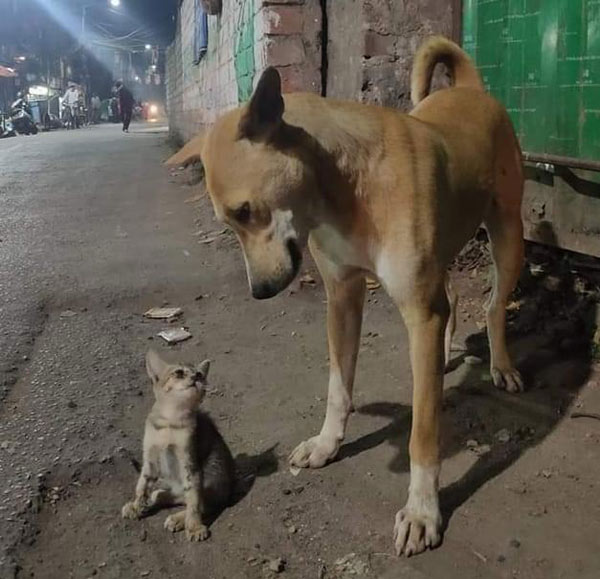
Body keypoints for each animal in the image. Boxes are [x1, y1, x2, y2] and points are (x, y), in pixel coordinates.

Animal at [166, 36, 524, 556]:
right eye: (227, 222)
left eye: (246, 210)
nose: (260, 292)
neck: (344, 183)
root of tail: (472, 90)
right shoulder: (343, 297)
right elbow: (338, 387)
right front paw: (327, 443)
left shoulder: (419, 309)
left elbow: (422, 433)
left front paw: (422, 510)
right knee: (454, 299)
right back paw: (441, 355)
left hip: (509, 235)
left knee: (495, 304)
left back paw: (501, 364)